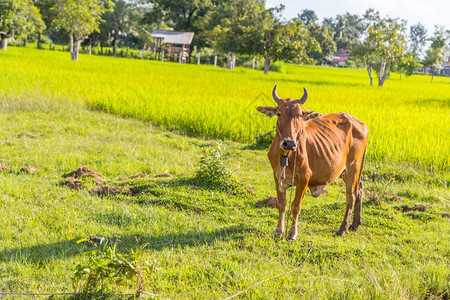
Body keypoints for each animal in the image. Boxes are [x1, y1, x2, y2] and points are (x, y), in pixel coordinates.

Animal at [258, 85, 368, 240]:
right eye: (279, 114)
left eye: (299, 115)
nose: (289, 143)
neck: (286, 155)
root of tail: (360, 123)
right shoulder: (277, 176)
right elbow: (282, 204)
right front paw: (279, 231)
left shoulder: (304, 177)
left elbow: (295, 206)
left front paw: (292, 234)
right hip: (344, 171)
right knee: (359, 189)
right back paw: (355, 224)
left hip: (353, 167)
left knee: (350, 196)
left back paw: (343, 228)